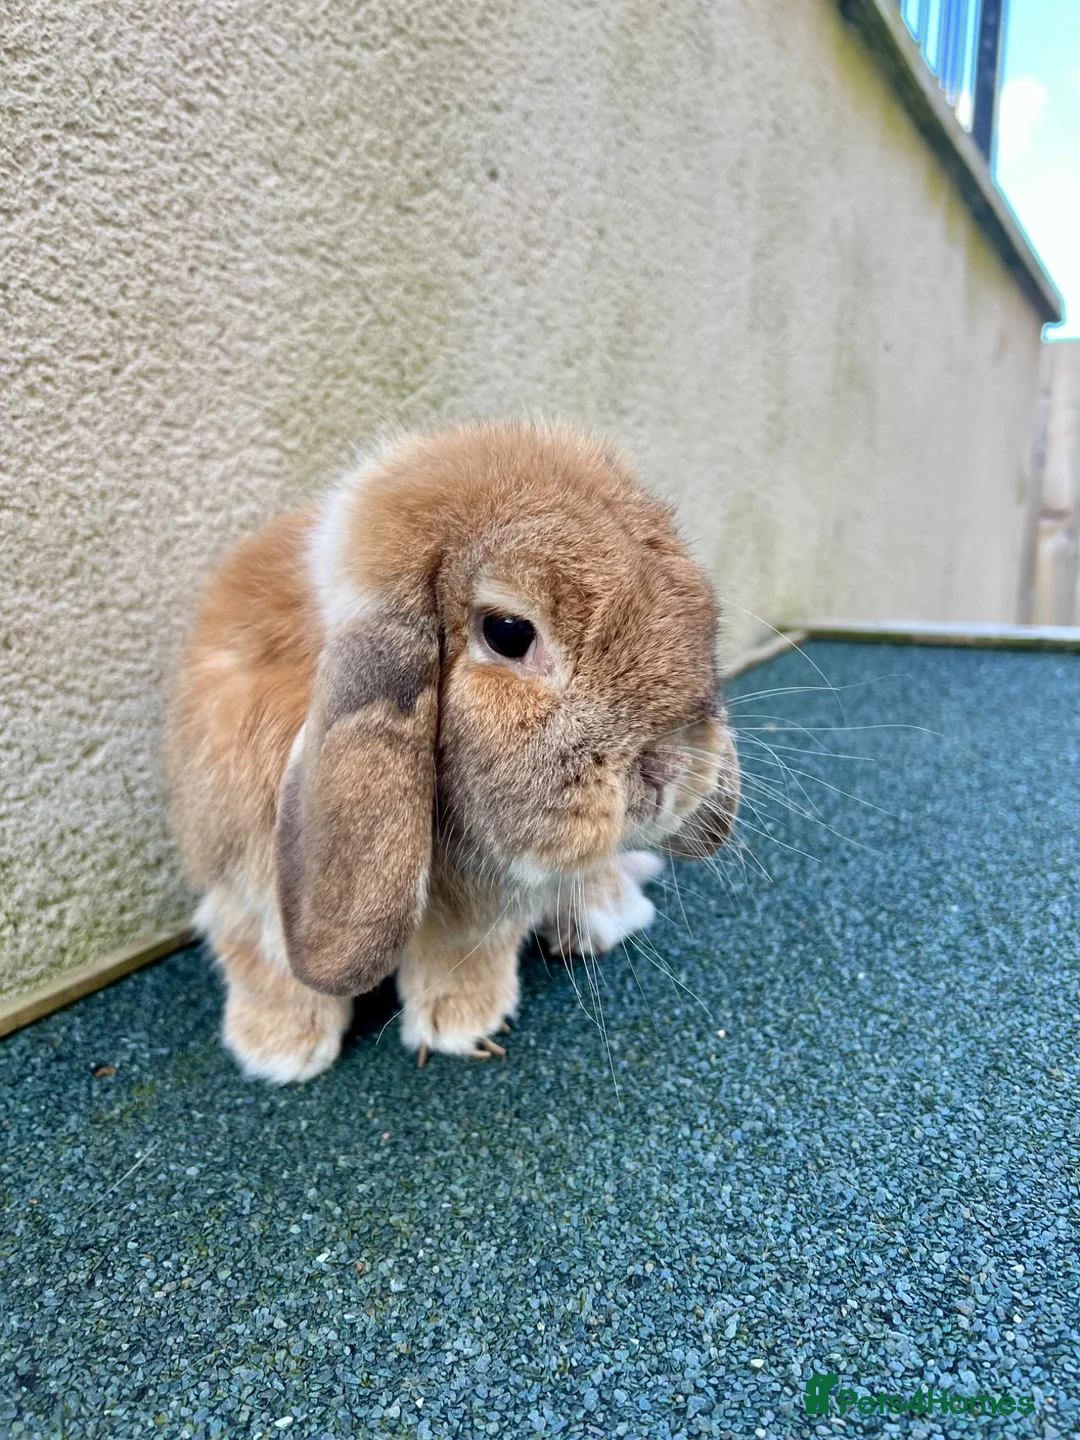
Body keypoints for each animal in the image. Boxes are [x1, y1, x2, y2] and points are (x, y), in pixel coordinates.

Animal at [164, 421, 740, 1083]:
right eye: (509, 633)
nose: (669, 769)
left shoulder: (483, 907)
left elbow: (463, 953)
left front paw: (461, 1024)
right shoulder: (245, 880)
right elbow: (266, 960)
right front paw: (278, 1051)